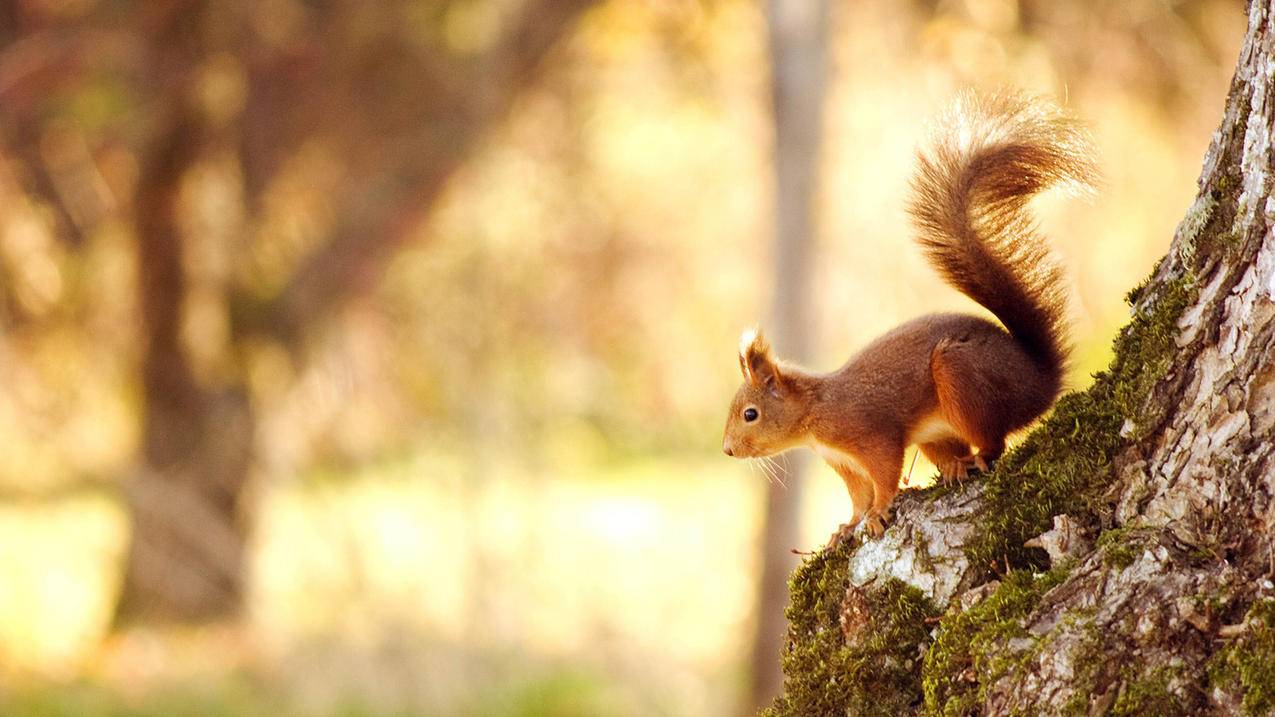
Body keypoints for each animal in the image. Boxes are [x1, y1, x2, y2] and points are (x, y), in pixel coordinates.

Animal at [724, 91, 1091, 543]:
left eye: (750, 414)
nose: (728, 449)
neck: (815, 413)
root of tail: (1041, 380)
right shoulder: (843, 461)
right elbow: (857, 494)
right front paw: (847, 526)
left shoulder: (868, 434)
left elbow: (884, 474)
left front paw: (879, 511)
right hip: (938, 429)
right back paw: (953, 466)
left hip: (962, 376)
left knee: (994, 443)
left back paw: (974, 460)